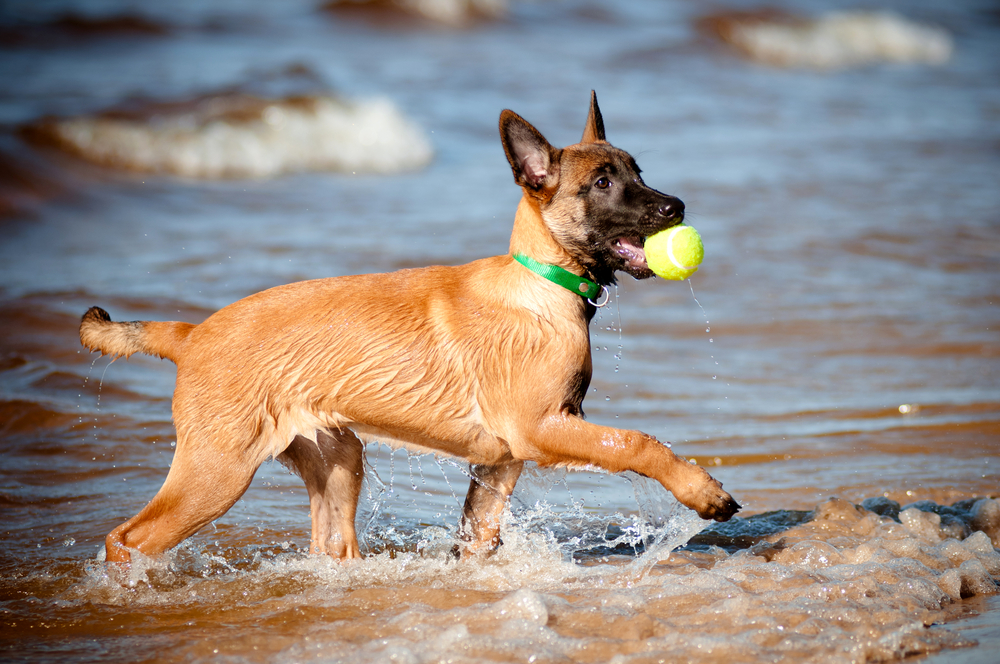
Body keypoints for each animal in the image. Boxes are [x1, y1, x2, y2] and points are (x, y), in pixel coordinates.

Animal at [80, 91, 744, 564]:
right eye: (603, 183)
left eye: (638, 171)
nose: (677, 207)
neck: (541, 284)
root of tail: (192, 334)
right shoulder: (539, 430)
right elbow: (638, 441)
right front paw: (704, 492)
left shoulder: (499, 464)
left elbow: (478, 537)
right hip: (216, 471)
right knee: (126, 540)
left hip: (337, 460)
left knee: (332, 546)